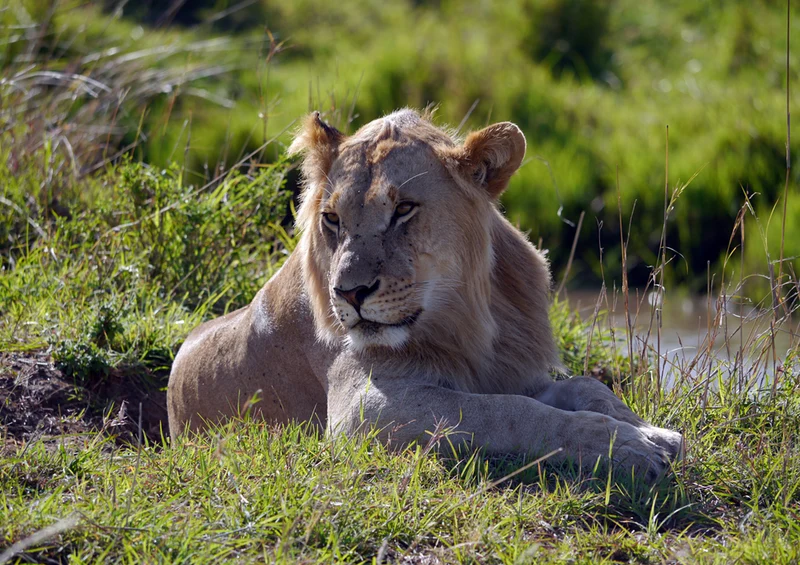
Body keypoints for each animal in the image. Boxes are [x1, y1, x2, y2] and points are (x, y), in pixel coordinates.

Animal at [167, 109, 683, 480]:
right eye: (332, 219)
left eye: (404, 210)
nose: (348, 293)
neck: (466, 319)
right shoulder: (362, 410)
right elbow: (510, 412)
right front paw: (627, 446)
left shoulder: (511, 369)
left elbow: (587, 386)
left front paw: (652, 432)